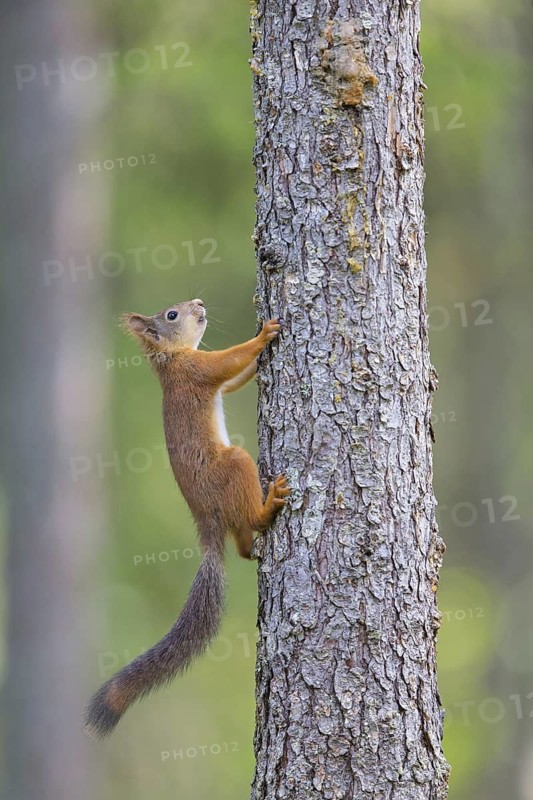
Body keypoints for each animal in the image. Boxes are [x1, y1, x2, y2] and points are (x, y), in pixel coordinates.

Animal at [85, 299, 290, 738]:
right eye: (171, 316)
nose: (198, 304)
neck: (171, 359)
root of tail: (206, 525)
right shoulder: (197, 370)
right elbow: (227, 363)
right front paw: (264, 334)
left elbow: (234, 380)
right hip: (234, 465)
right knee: (251, 520)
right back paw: (269, 506)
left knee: (242, 545)